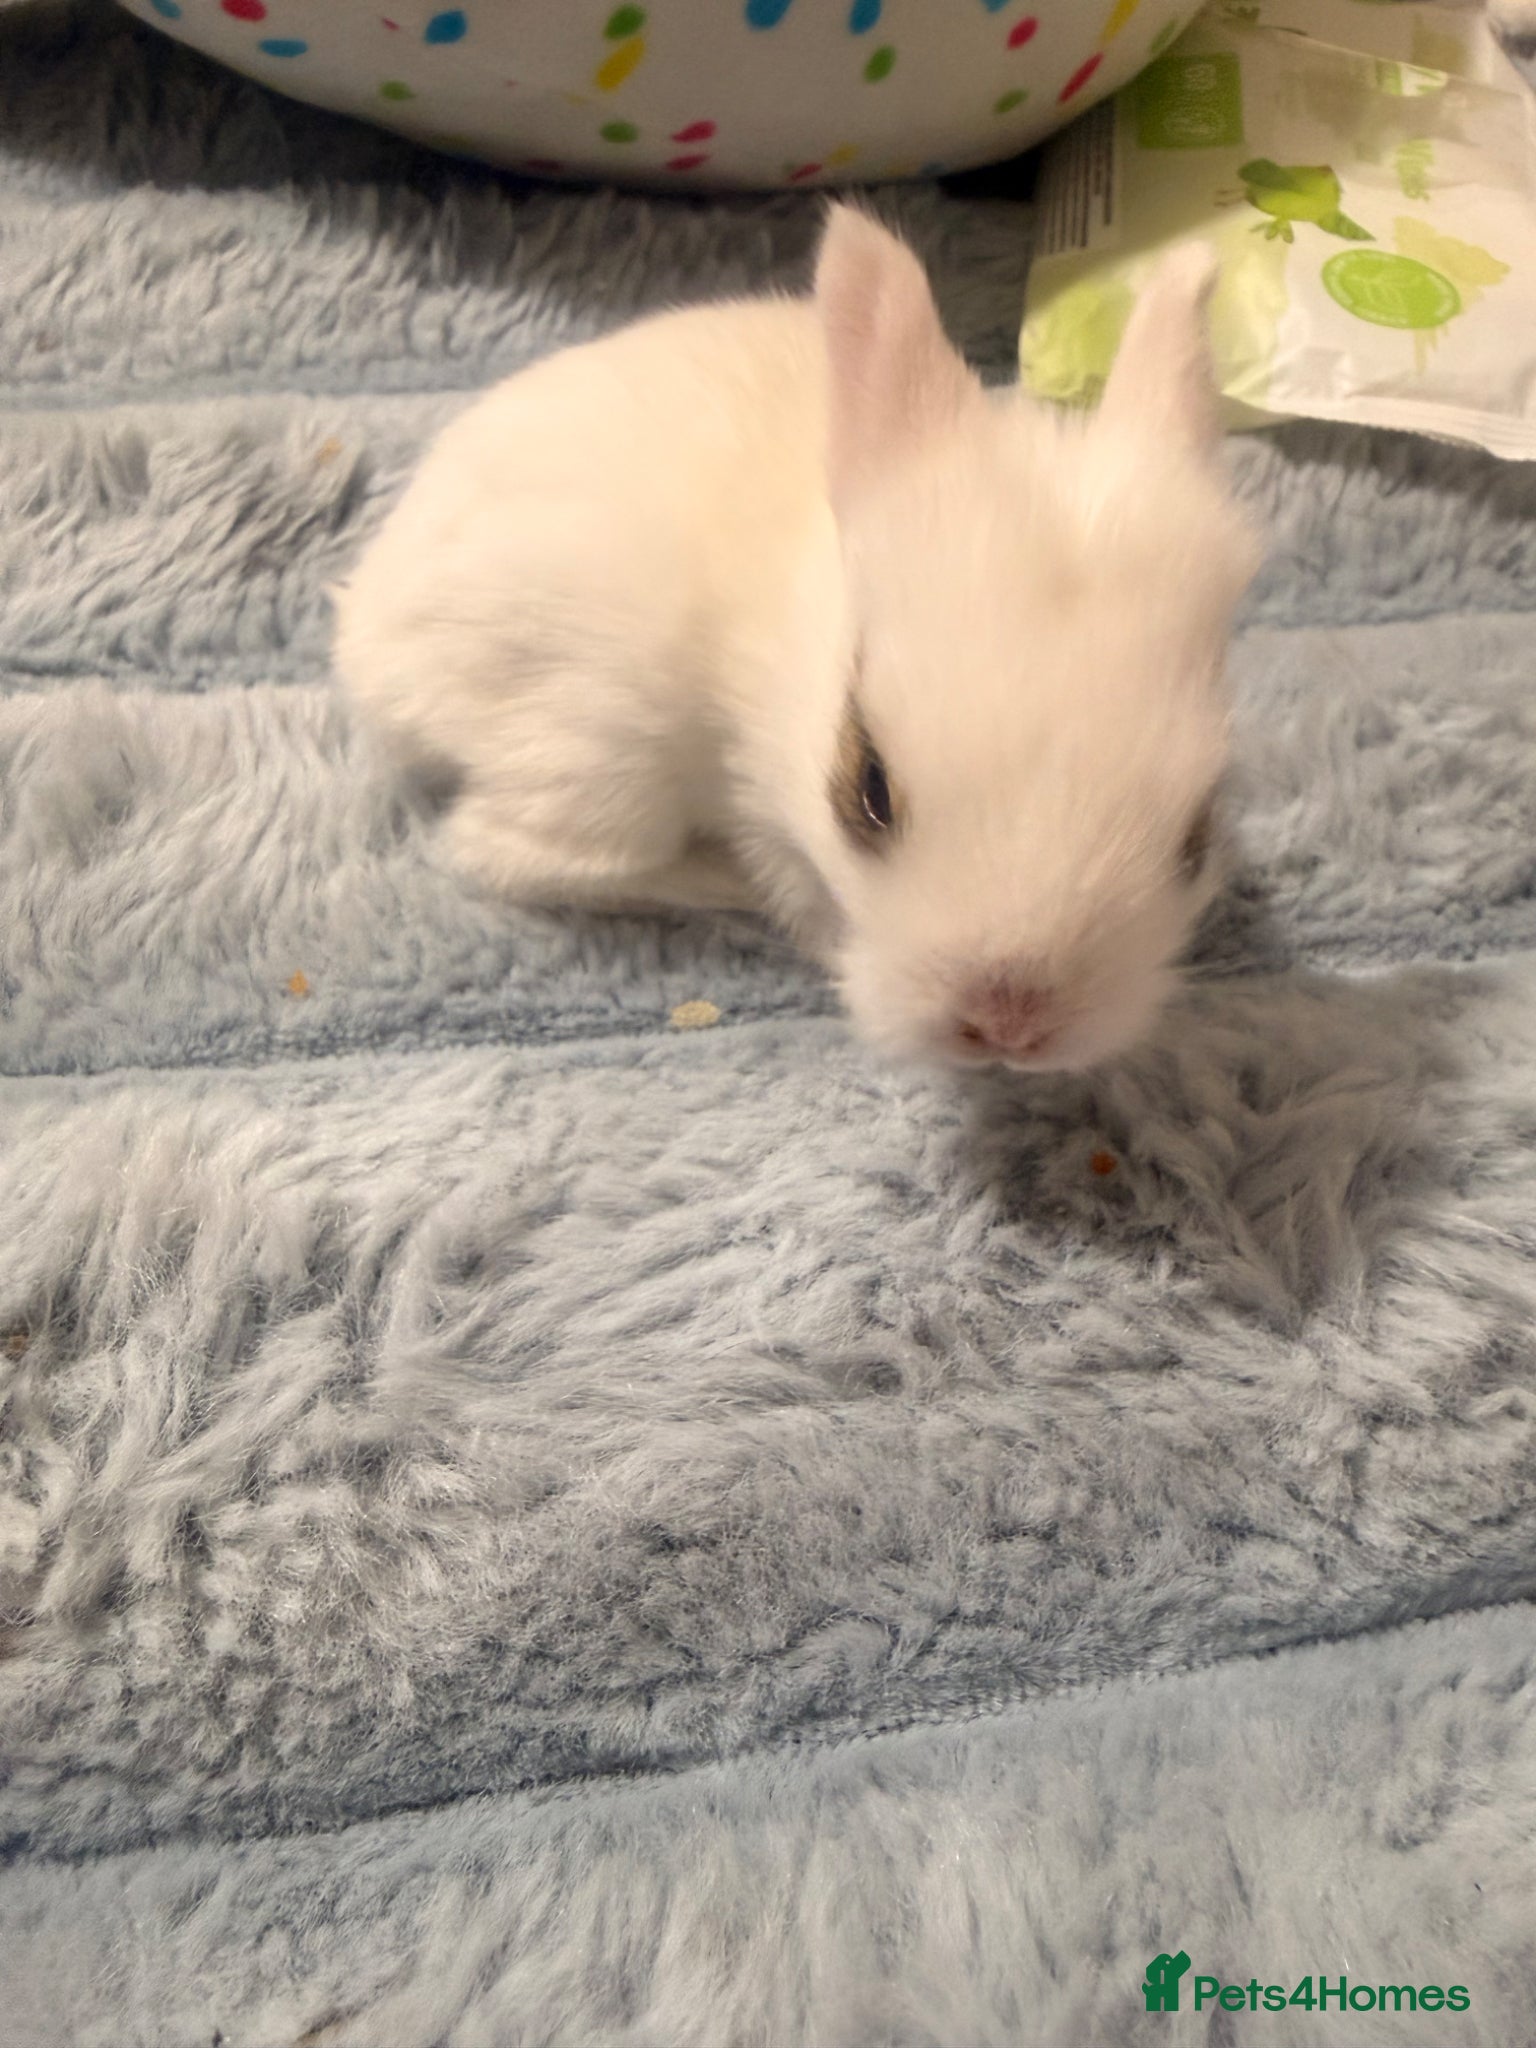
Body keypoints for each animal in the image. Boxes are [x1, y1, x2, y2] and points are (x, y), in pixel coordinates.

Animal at [333, 204, 1260, 1073]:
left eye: (1196, 836)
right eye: (868, 790)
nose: (1009, 1024)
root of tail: (365, 630)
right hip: (602, 746)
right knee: (502, 853)